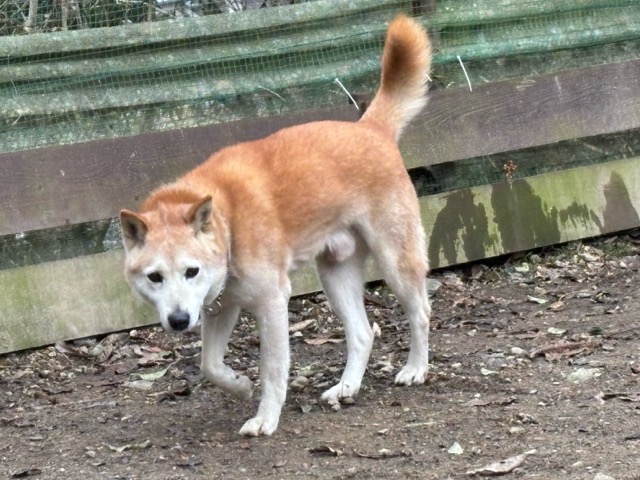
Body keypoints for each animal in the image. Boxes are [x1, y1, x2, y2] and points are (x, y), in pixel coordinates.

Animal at [120, 14, 432, 437]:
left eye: (191, 271)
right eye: (155, 277)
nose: (180, 320)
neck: (229, 220)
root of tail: (371, 128)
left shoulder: (271, 303)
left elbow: (272, 369)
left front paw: (265, 418)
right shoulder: (220, 306)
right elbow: (210, 365)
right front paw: (239, 385)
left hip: (396, 261)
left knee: (420, 313)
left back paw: (415, 369)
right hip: (336, 276)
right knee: (362, 334)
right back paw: (346, 387)